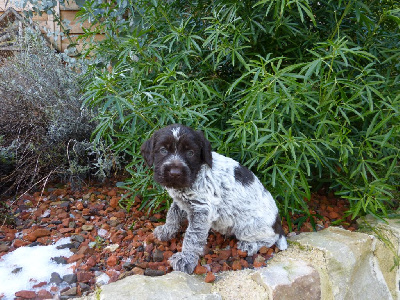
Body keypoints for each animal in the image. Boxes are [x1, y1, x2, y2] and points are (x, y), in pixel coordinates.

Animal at [141, 123, 288, 274]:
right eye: (163, 150)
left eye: (190, 153)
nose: (175, 173)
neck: (196, 174)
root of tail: (277, 222)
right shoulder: (182, 201)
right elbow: (172, 215)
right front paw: (166, 231)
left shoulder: (201, 210)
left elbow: (192, 236)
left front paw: (186, 259)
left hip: (247, 228)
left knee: (271, 238)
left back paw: (250, 245)